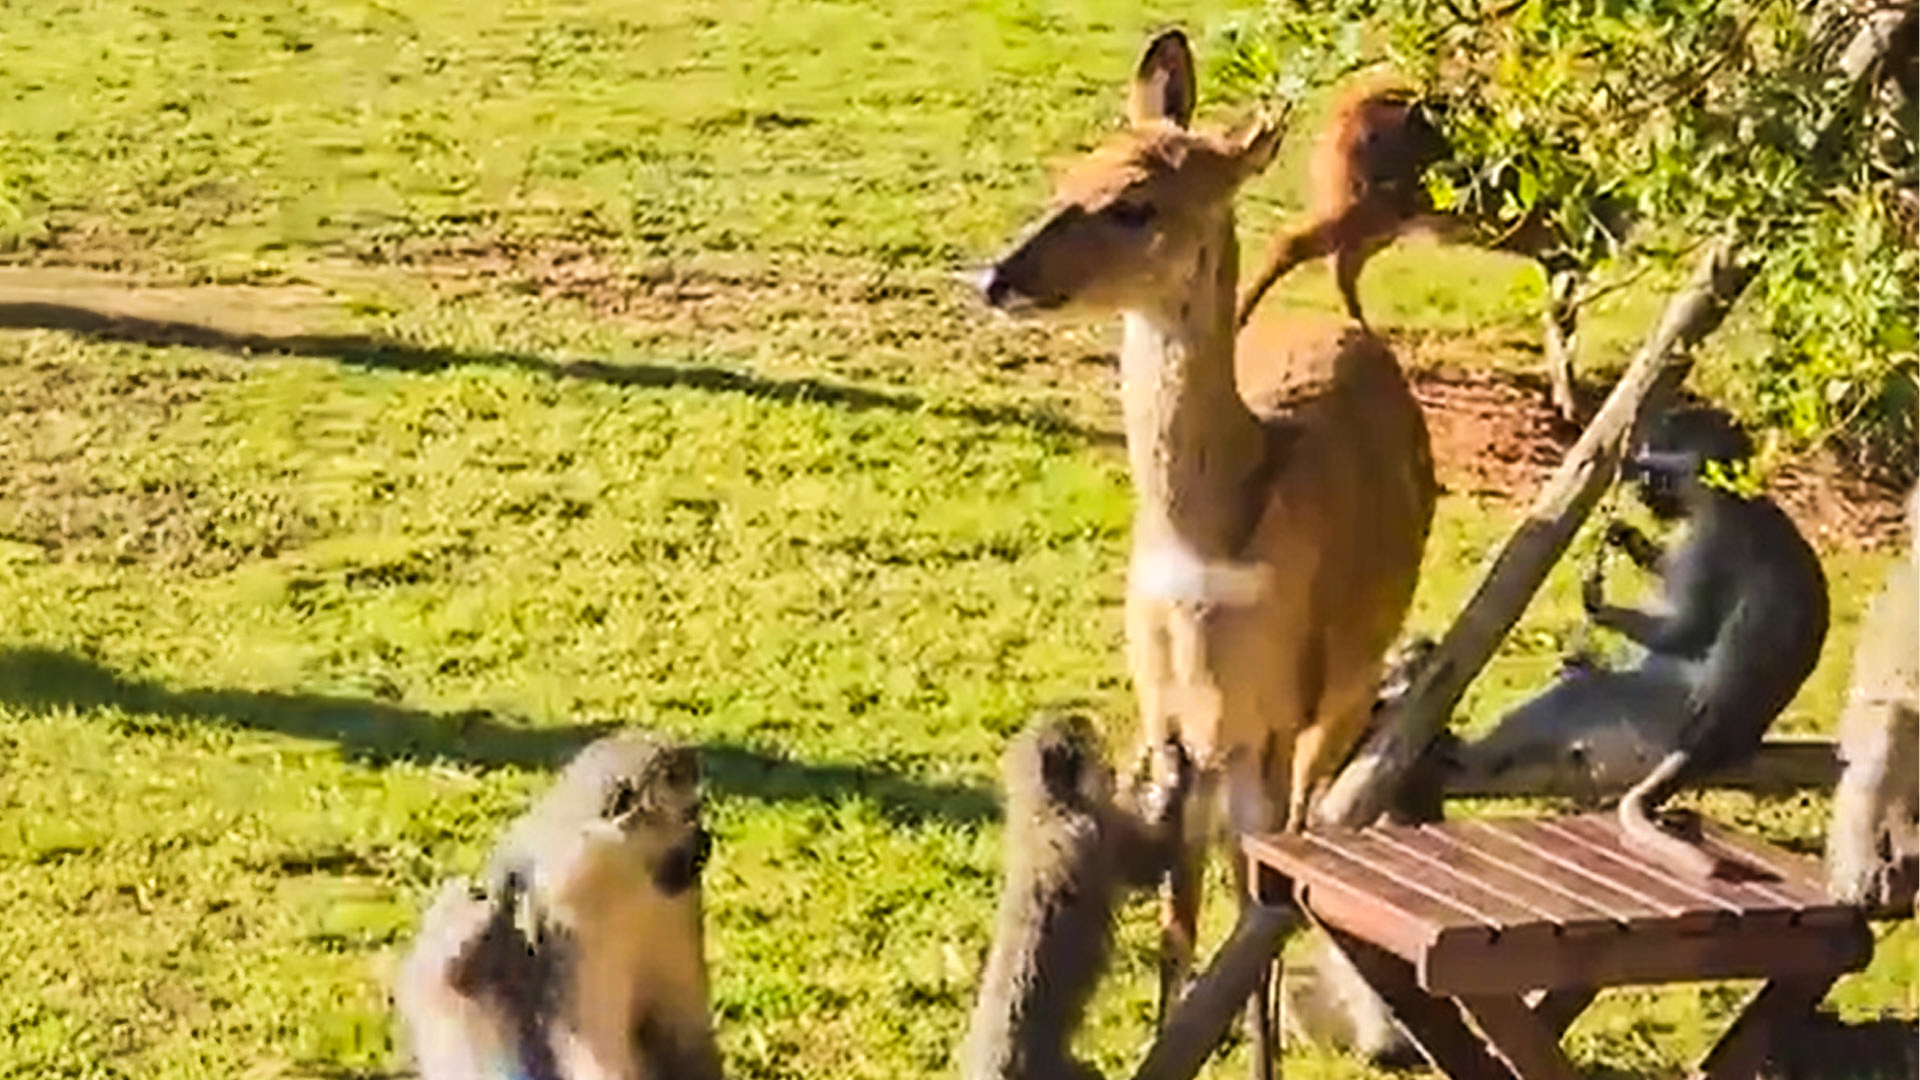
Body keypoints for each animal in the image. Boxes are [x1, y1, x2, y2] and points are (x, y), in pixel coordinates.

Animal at [394, 732, 723, 1080]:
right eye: (689, 815)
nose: (703, 844)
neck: (625, 877)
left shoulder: (673, 907)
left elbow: (683, 1028)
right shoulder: (565, 906)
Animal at [1581, 406, 1831, 879]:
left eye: (1654, 472)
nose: (1640, 490)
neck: (1733, 499)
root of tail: (1725, 734)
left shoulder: (1714, 542)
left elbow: (1691, 630)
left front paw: (1600, 608)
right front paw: (1633, 539)